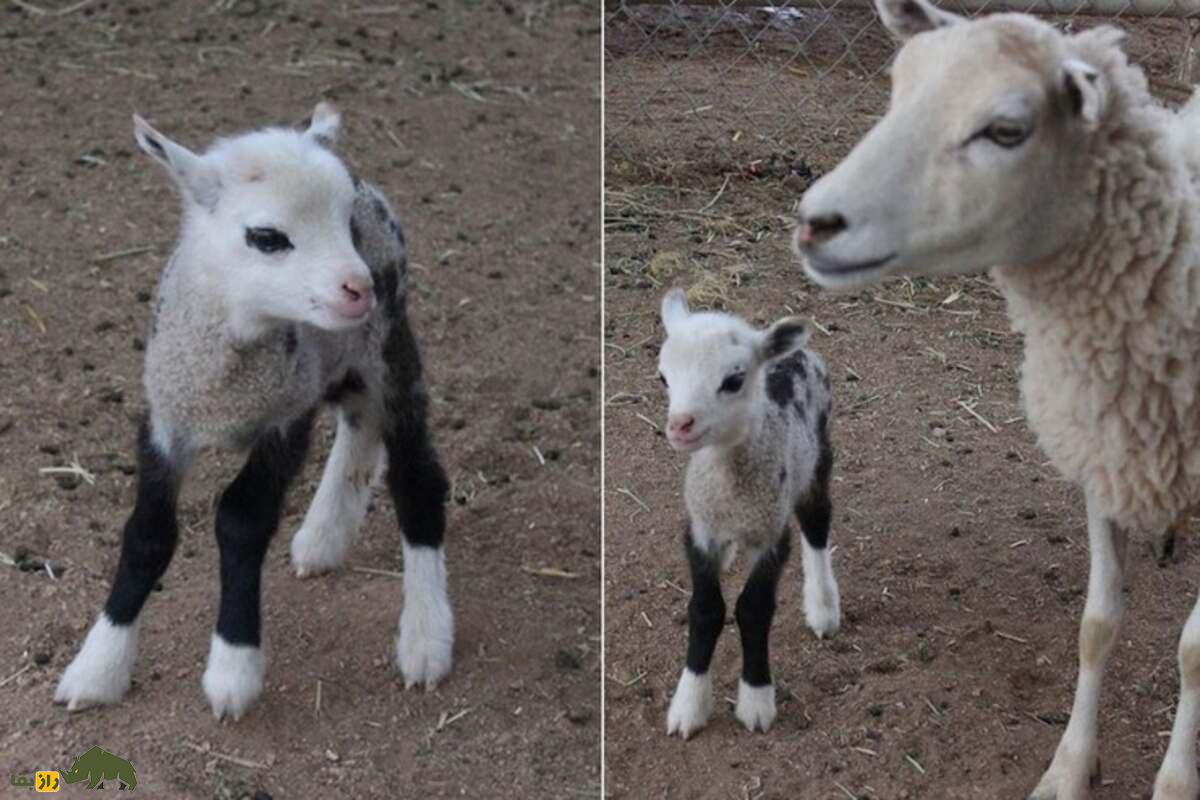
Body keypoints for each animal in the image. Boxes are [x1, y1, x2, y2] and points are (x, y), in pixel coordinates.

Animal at [52, 103, 453, 724]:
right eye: (266, 238)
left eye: (346, 225)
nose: (358, 289)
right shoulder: (166, 417)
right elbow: (147, 534)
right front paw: (98, 667)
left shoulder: (284, 419)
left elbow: (241, 520)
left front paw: (233, 667)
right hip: (346, 356)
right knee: (360, 421)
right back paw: (323, 537)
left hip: (389, 345)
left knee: (416, 477)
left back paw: (425, 638)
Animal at [657, 291, 844, 743]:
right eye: (663, 378)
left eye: (733, 381)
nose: (679, 426)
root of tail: (794, 353)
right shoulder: (700, 530)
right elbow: (705, 609)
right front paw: (689, 703)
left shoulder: (769, 534)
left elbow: (753, 609)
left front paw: (756, 699)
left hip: (817, 457)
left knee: (816, 525)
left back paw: (823, 606)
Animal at [796, 3, 1200, 796]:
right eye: (897, 89)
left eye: (1007, 130)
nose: (814, 222)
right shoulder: (1105, 455)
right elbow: (1096, 626)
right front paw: (1069, 768)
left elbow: (1193, 655)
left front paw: (1176, 782)